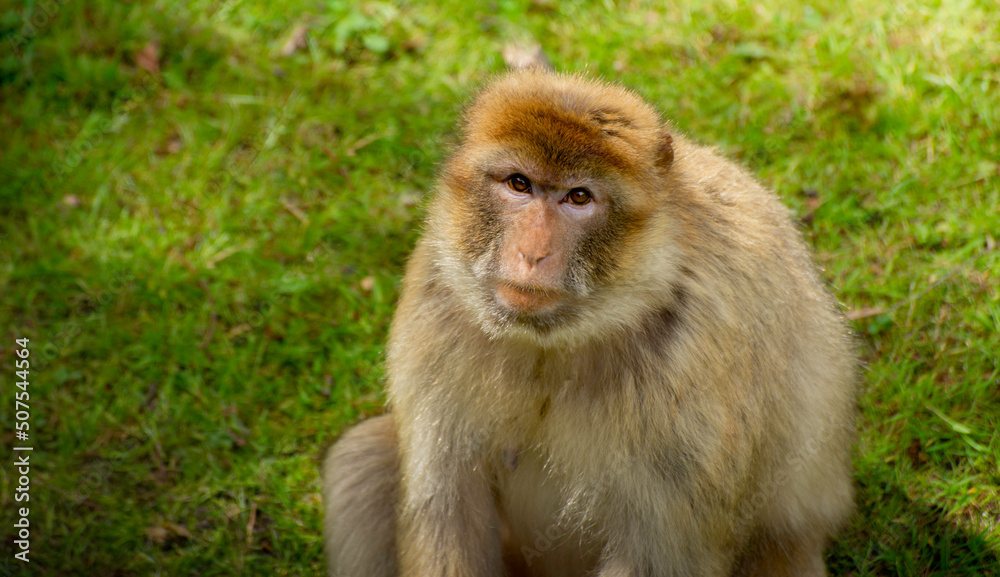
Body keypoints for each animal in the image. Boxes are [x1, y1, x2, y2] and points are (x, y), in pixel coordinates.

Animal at [322, 68, 860, 576]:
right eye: (519, 184)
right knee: (360, 463)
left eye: (579, 197)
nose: (532, 253)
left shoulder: (695, 360)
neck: (557, 341)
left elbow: (662, 556)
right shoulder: (436, 299)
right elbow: (446, 514)